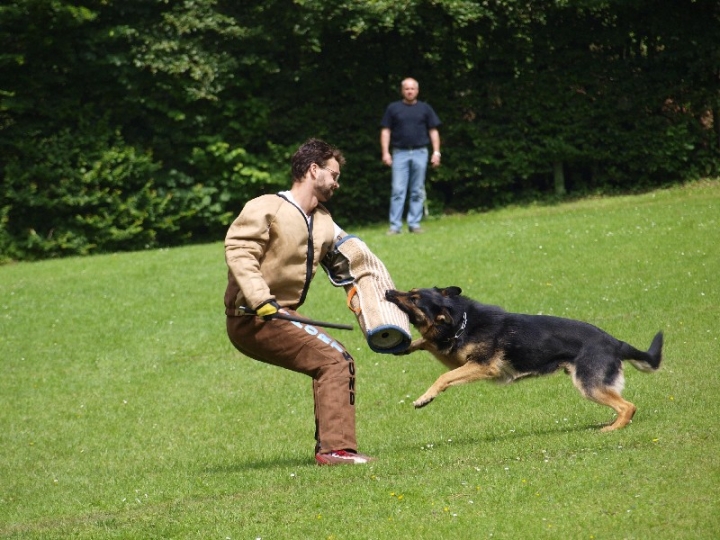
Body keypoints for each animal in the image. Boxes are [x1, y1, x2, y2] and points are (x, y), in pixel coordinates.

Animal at [382, 286, 664, 430]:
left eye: (414, 298)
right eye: (410, 291)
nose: (387, 292)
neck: (462, 321)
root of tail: (615, 342)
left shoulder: (482, 366)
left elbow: (443, 377)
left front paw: (424, 398)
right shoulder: (463, 359)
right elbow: (430, 344)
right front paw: (406, 346)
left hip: (589, 385)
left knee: (628, 406)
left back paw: (613, 428)